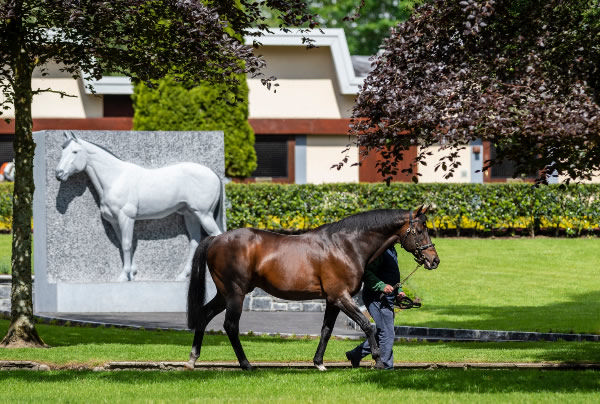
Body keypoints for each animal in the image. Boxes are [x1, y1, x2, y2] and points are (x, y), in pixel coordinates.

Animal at [186, 207, 440, 370]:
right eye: (420, 231)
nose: (434, 260)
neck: (345, 245)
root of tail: (216, 239)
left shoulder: (332, 300)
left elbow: (326, 330)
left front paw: (318, 363)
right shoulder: (341, 297)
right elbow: (367, 325)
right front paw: (377, 361)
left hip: (225, 294)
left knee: (204, 315)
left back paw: (192, 359)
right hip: (235, 294)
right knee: (230, 325)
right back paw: (246, 365)